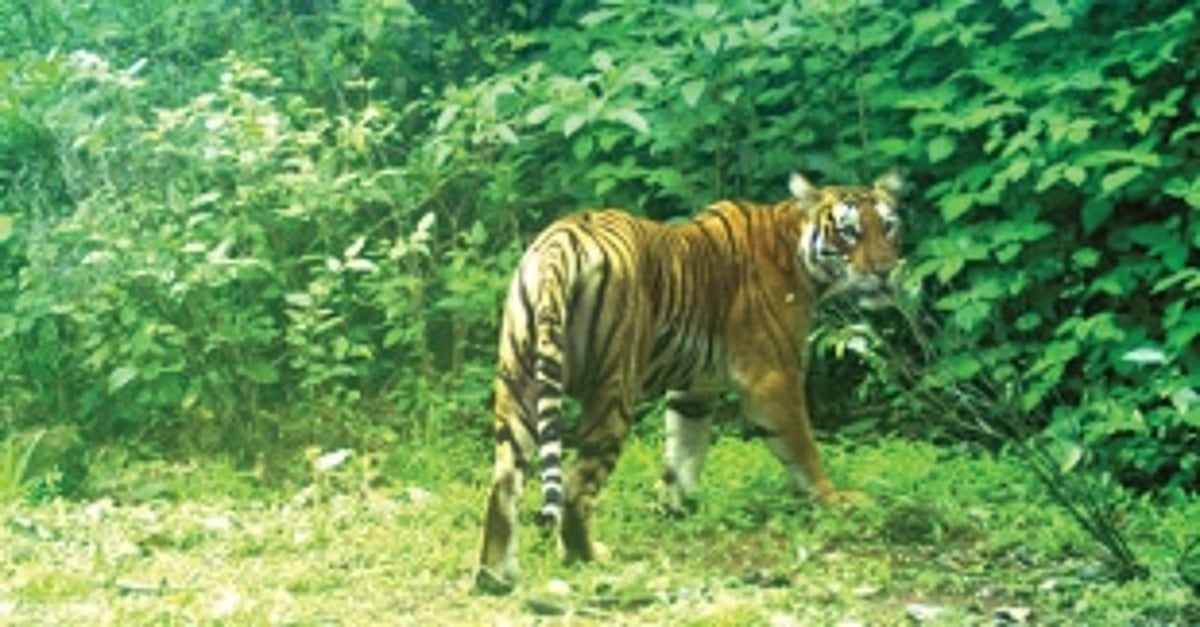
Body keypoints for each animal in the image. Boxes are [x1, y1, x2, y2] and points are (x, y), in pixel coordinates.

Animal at [476, 171, 904, 593]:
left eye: (887, 226)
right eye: (849, 232)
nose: (886, 270)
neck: (796, 251)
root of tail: (560, 243)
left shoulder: (694, 387)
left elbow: (684, 448)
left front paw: (672, 504)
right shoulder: (773, 379)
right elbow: (803, 449)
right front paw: (836, 500)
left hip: (519, 382)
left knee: (504, 483)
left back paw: (494, 576)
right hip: (614, 390)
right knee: (574, 488)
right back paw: (587, 557)